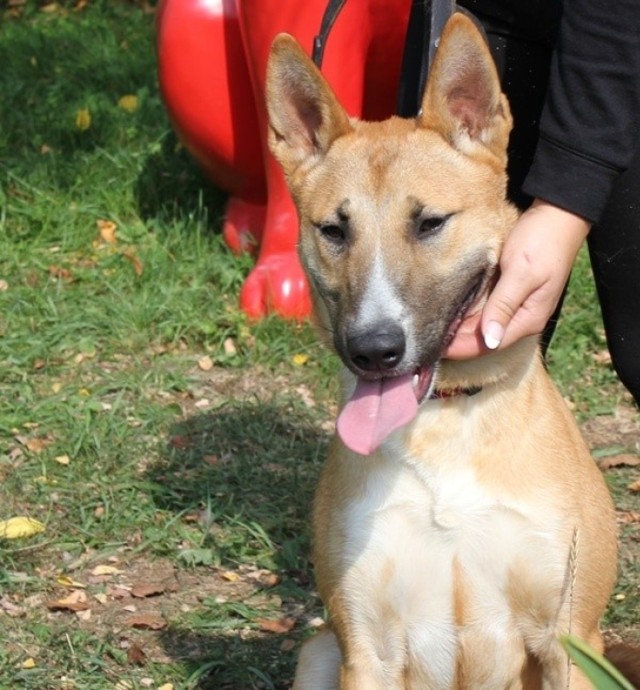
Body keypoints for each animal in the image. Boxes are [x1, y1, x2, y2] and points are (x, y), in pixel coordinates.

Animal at [266, 13, 624, 684]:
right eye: (334, 230)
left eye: (430, 222)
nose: (373, 349)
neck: (447, 415)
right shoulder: (366, 648)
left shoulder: (570, 642)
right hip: (318, 650)